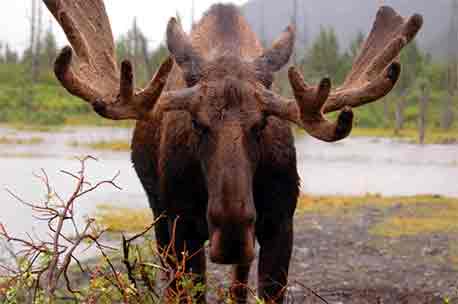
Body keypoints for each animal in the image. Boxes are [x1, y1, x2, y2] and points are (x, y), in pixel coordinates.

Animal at [42, 0, 422, 302]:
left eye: (262, 123)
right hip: (161, 219)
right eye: (197, 123)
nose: (232, 233)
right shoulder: (182, 228)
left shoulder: (280, 224)